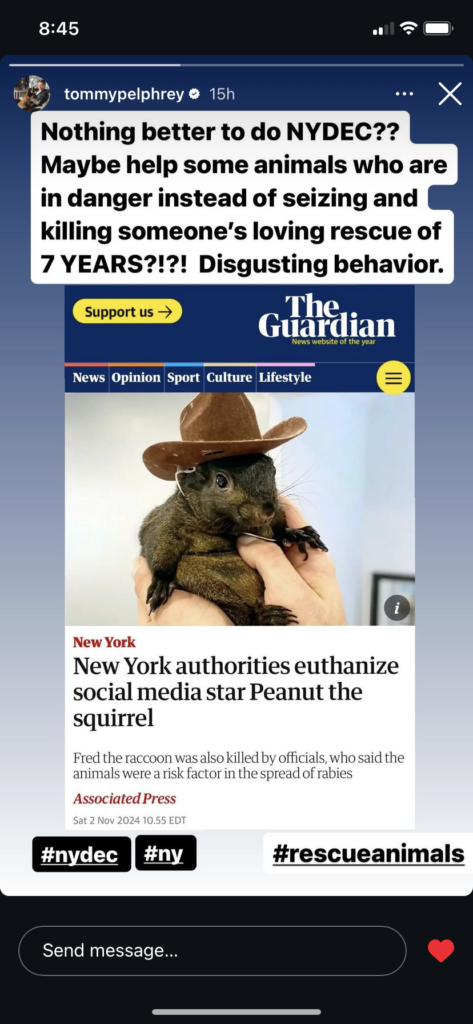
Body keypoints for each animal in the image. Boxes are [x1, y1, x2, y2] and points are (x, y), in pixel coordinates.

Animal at [139, 453, 327, 626]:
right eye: (221, 481)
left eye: (273, 471)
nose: (268, 510)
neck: (229, 528)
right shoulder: (168, 519)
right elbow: (158, 540)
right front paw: (161, 581)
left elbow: (279, 529)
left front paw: (295, 533)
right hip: (199, 580)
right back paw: (263, 618)